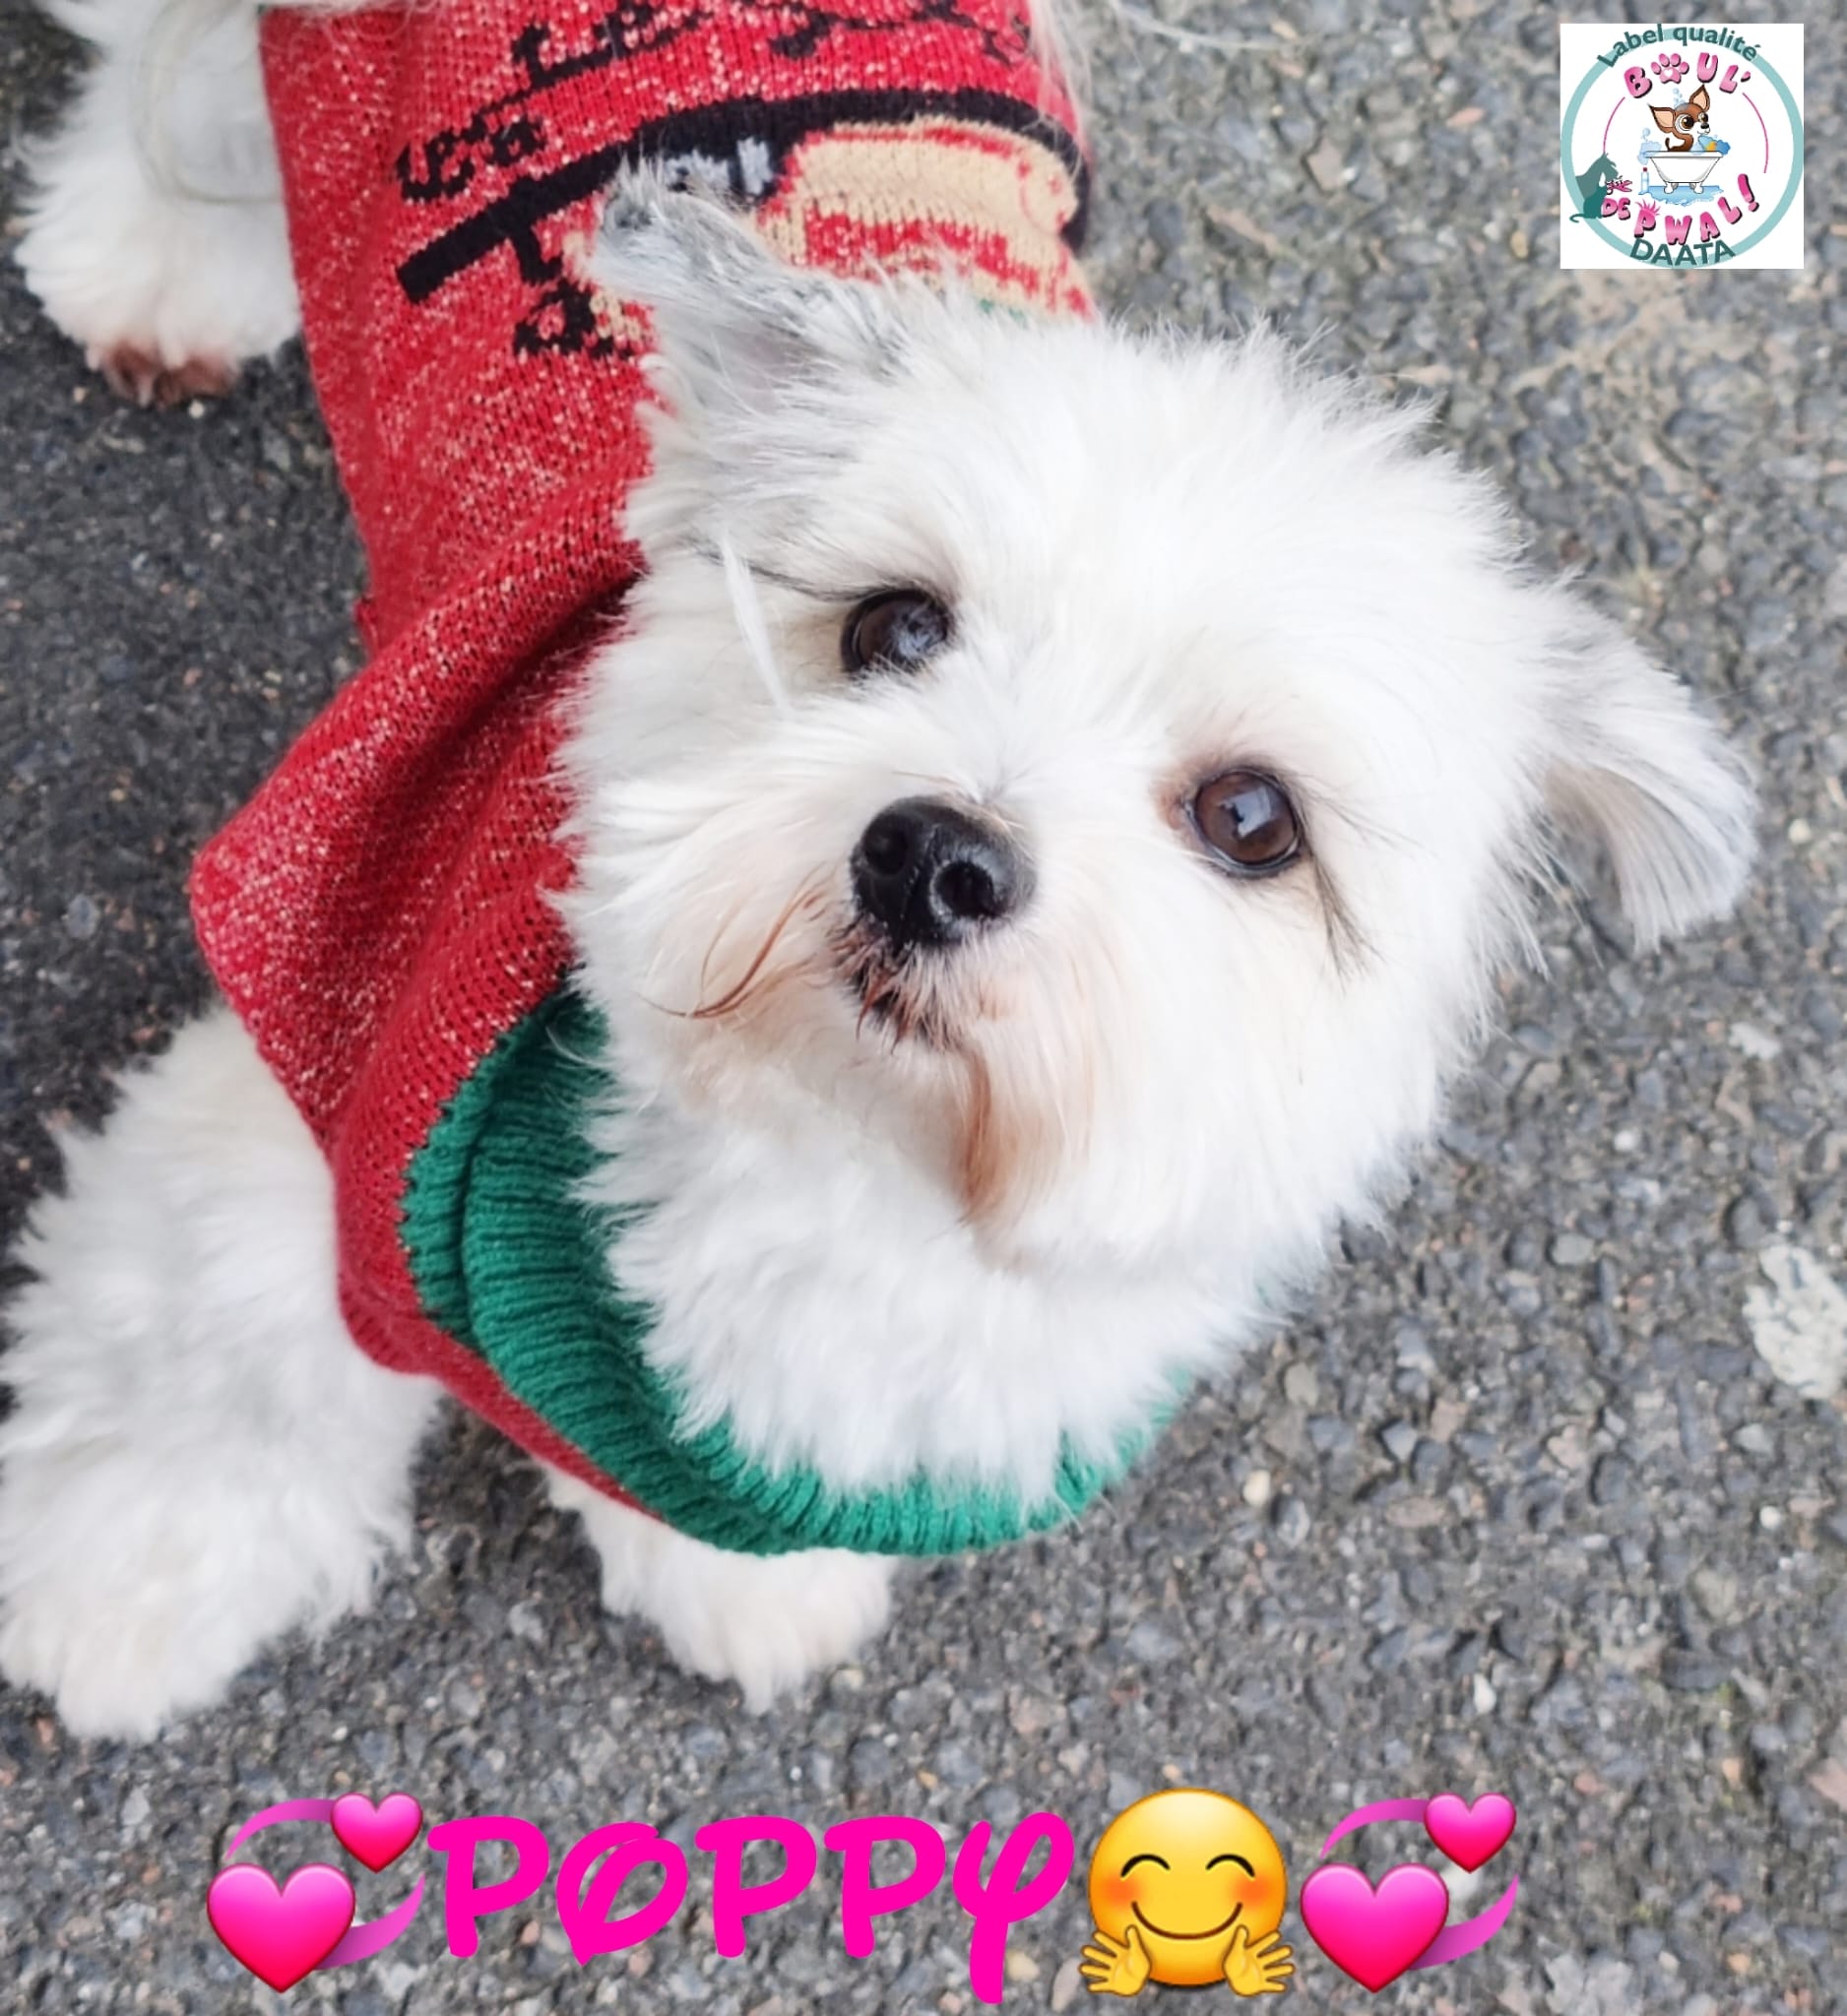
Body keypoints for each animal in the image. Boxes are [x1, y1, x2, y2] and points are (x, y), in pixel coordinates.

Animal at [1, 0, 1754, 1740]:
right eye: (895, 628)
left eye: (1254, 820)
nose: (934, 859)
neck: (828, 1160)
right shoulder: (312, 1042)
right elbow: (214, 1354)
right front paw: (122, 1587)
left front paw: (742, 1582)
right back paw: (152, 267)